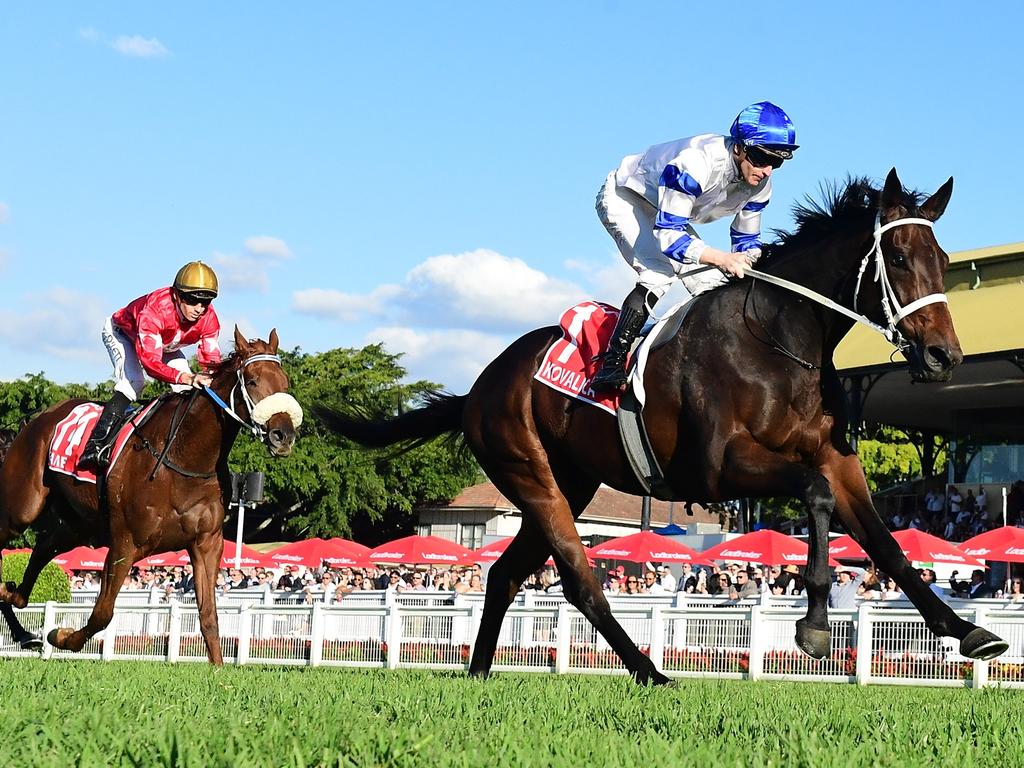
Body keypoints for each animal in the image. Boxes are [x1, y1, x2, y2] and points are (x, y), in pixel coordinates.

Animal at [0, 327, 299, 663]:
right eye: (252, 380)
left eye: (285, 383)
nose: (284, 435)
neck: (185, 457)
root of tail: (39, 418)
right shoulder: (125, 543)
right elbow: (102, 613)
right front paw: (59, 635)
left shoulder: (207, 543)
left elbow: (209, 616)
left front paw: (219, 668)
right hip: (20, 510)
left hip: (79, 525)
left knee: (42, 548)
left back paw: (17, 613)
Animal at [317, 171, 1007, 688]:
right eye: (899, 257)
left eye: (943, 259)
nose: (945, 356)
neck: (781, 342)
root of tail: (479, 386)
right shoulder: (718, 468)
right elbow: (812, 498)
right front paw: (812, 624)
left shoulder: (837, 461)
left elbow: (888, 546)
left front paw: (969, 630)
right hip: (528, 473)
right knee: (579, 578)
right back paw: (649, 671)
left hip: (568, 484)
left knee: (505, 574)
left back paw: (481, 671)